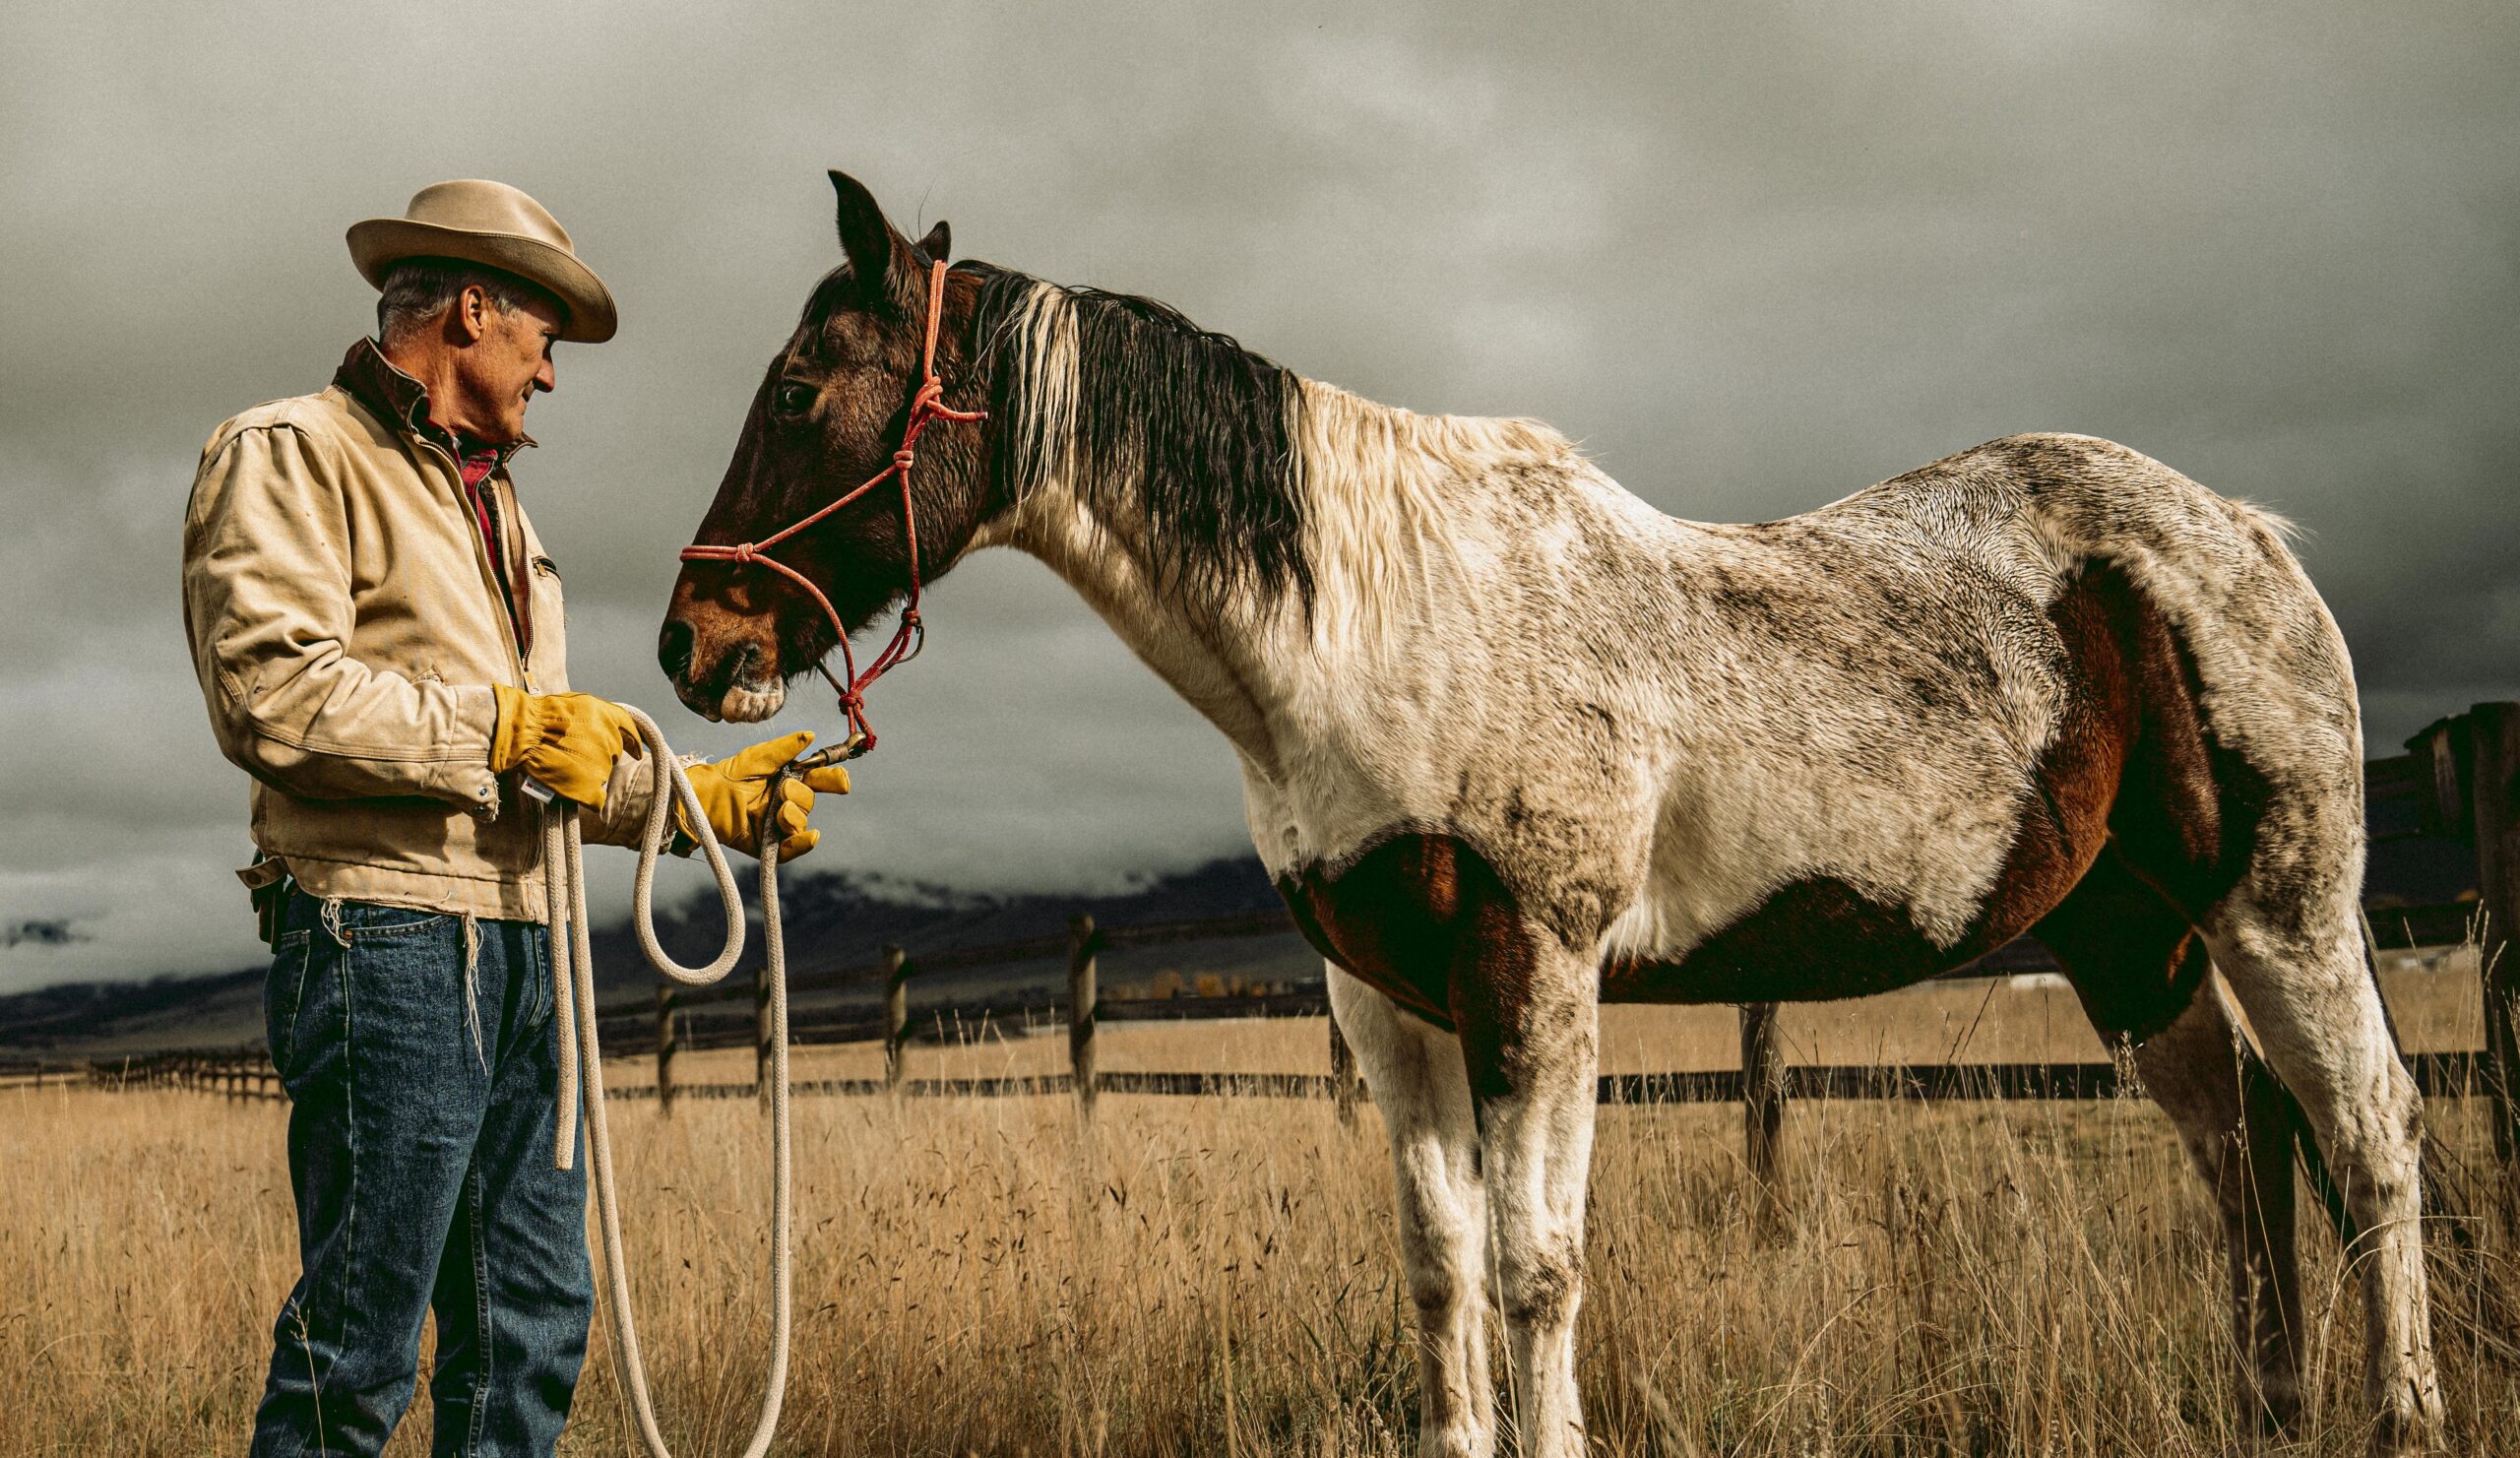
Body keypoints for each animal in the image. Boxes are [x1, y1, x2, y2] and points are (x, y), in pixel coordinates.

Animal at [659, 170, 2442, 1457]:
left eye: (806, 386)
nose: (696, 644)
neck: (1376, 626)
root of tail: (2244, 533)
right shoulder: (1384, 1001)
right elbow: (1443, 1264)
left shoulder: (1540, 971)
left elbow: (1536, 1265)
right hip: (2132, 938)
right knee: (2239, 1146)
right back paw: (2271, 1408)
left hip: (2279, 903)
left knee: (2368, 1133)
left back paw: (2401, 1414)